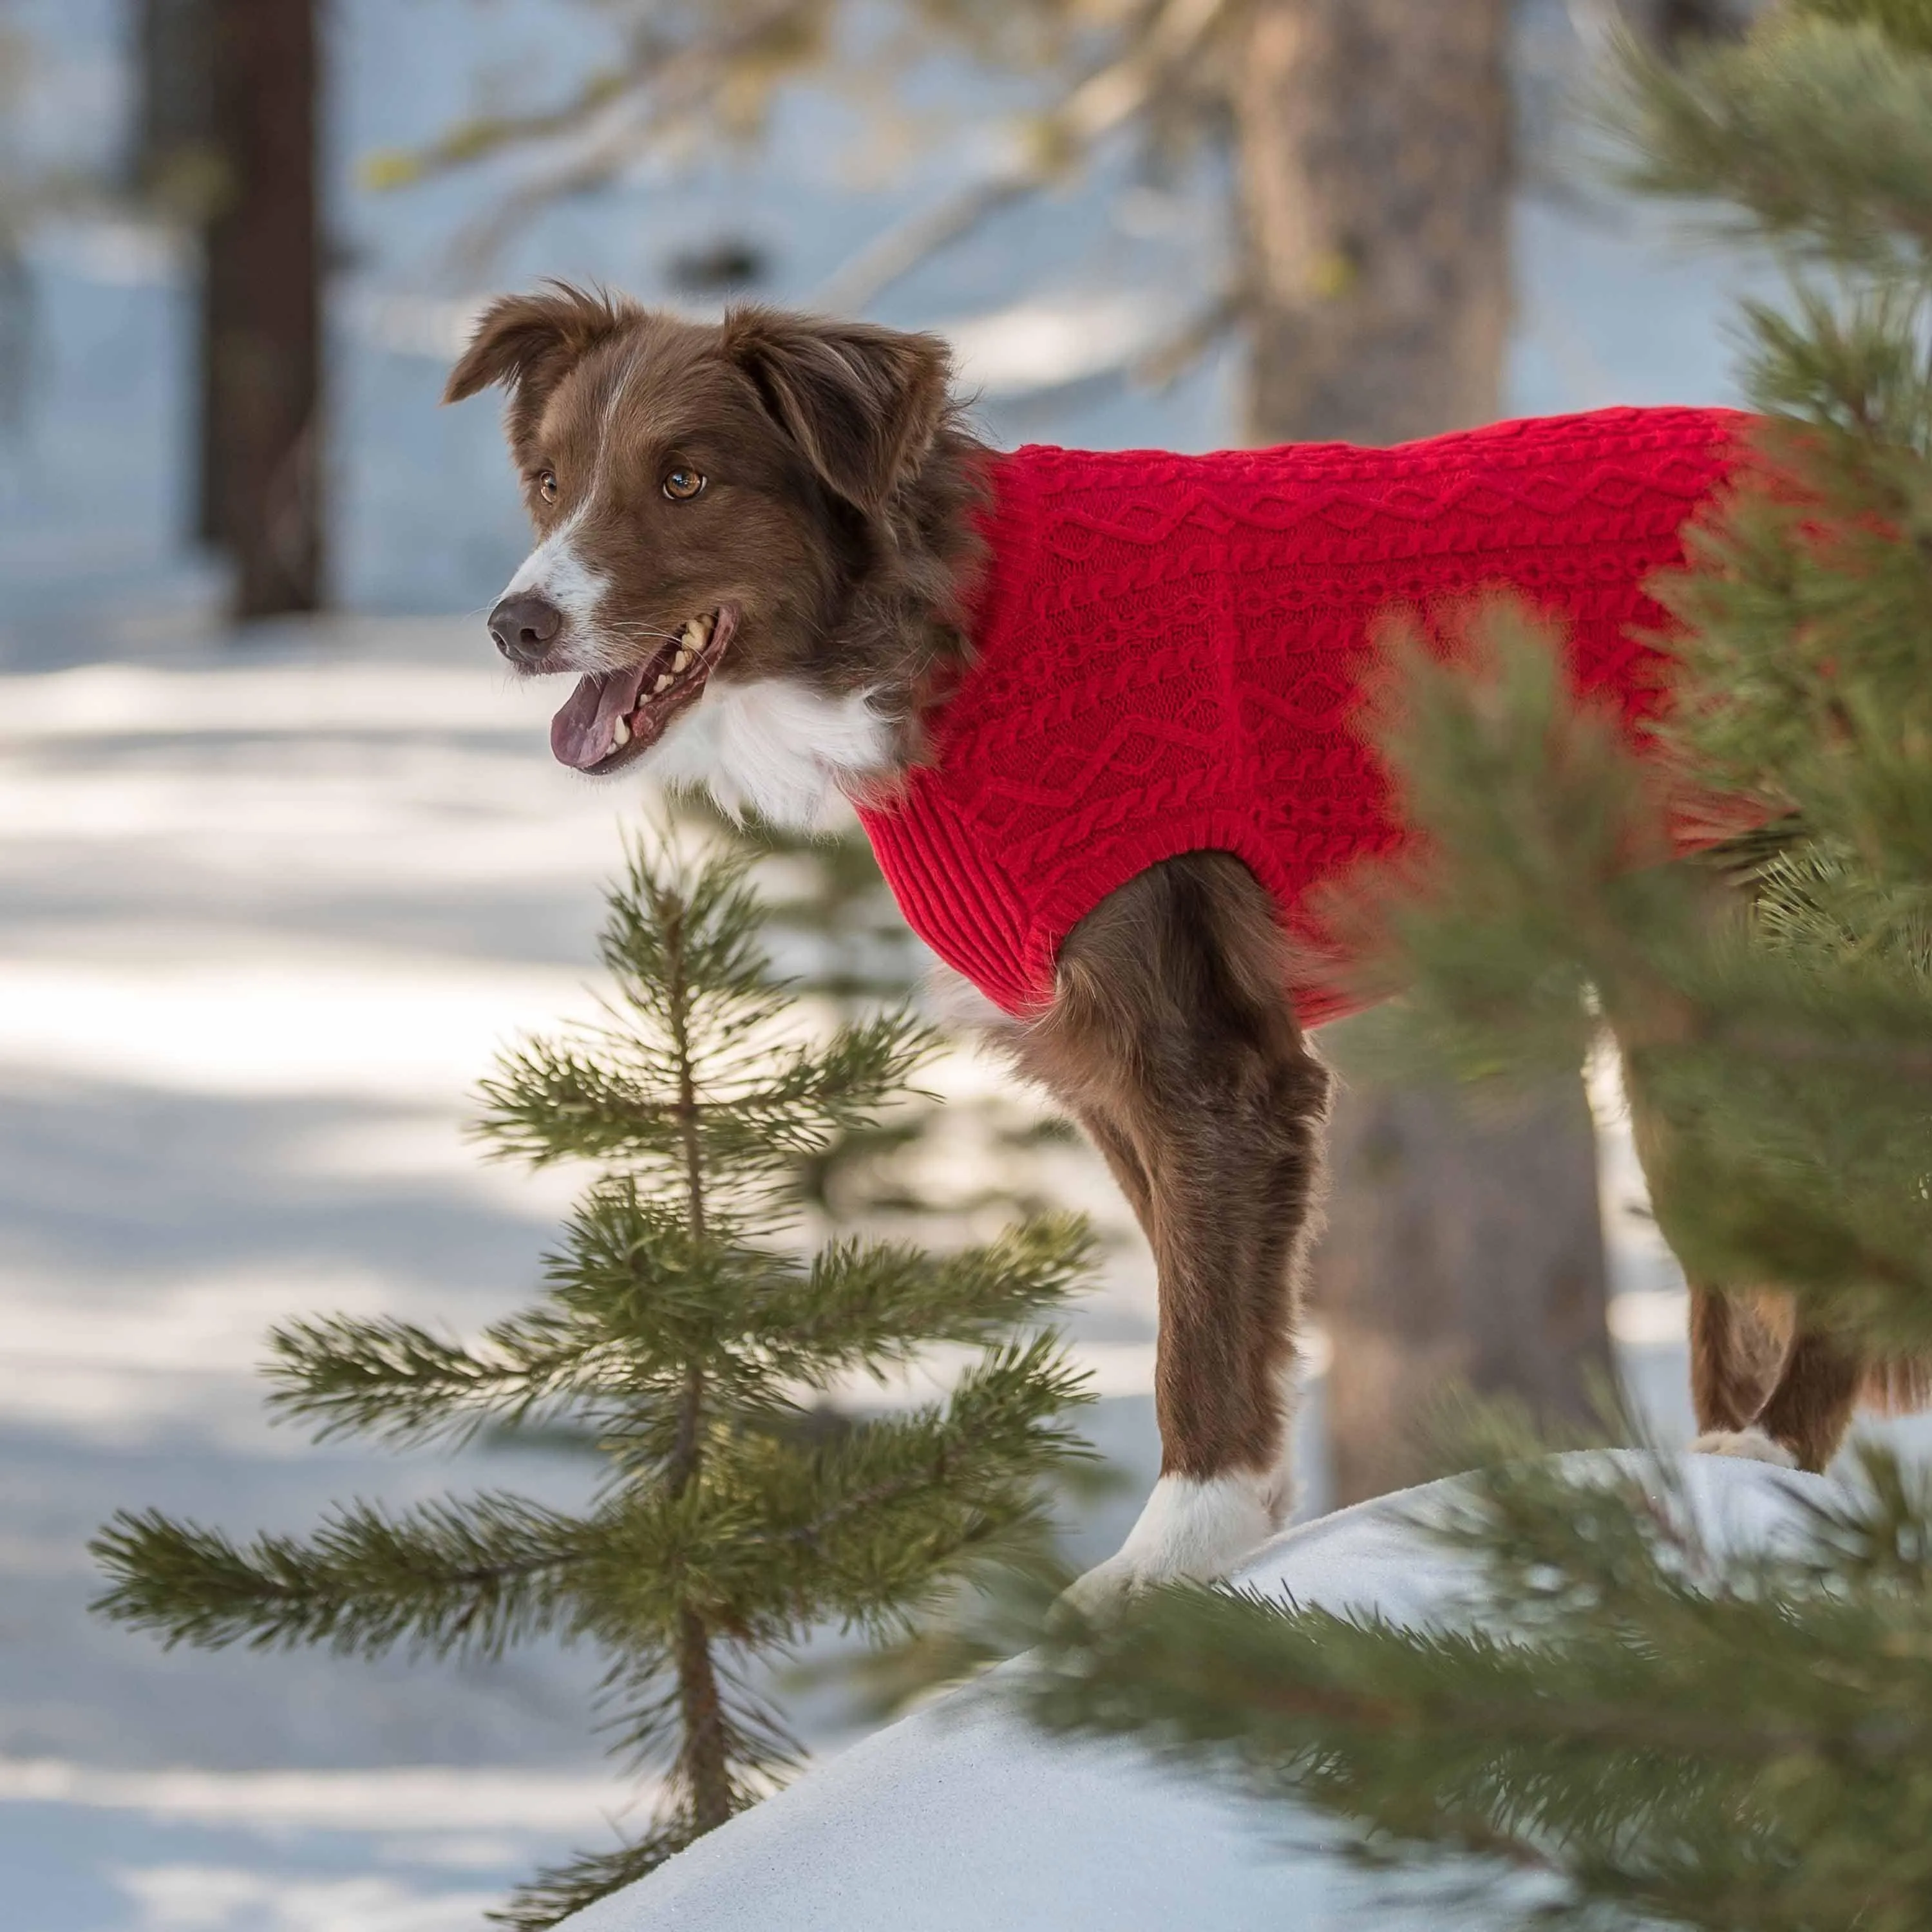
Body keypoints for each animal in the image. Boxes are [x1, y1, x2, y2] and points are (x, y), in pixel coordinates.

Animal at [448, 276, 1901, 1600]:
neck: (953, 638)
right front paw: (1235, 1537)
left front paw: (1168, 1565)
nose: (515, 625)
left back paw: (1773, 1463)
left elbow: (1194, 1341)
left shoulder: (1212, 1064)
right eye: (547, 480)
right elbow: (1224, 1318)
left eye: (685, 478)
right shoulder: (1109, 1073)